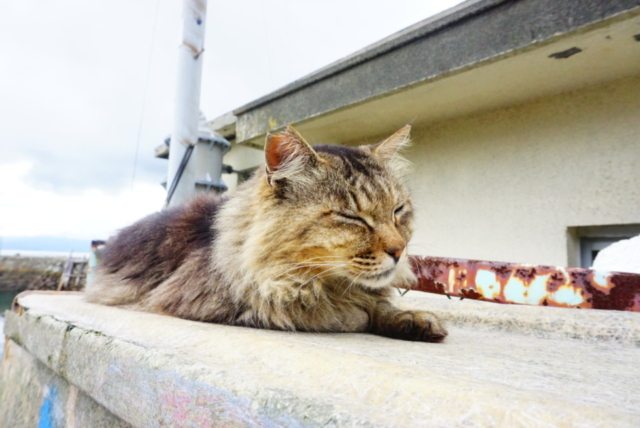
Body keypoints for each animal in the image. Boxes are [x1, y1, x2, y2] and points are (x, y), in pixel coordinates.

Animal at [84, 123, 444, 342]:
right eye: (351, 217)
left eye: (398, 211)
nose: (398, 251)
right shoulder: (218, 301)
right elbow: (340, 314)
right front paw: (361, 314)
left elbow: (382, 306)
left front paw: (412, 318)